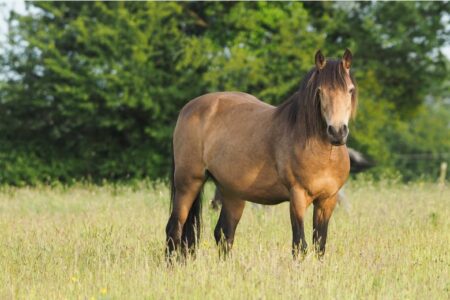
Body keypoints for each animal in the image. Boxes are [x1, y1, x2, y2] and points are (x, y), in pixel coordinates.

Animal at [165, 48, 358, 258]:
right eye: (320, 91)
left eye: (350, 90)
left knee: (224, 234)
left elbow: (320, 246)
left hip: (231, 192)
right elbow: (300, 245)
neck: (322, 153)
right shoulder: (297, 197)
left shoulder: (328, 200)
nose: (337, 132)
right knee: (174, 228)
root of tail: (187, 109)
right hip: (188, 183)